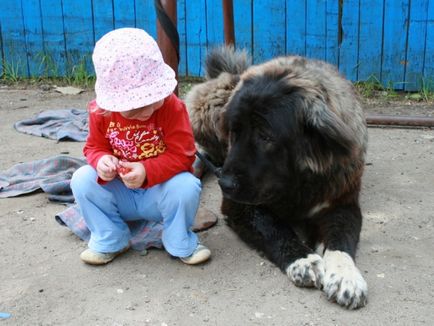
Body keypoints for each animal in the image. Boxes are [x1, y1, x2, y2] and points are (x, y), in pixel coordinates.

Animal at [186, 47, 370, 310]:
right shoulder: (240, 205)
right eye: (234, 132)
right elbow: (274, 228)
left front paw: (346, 277)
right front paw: (303, 260)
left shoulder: (341, 203)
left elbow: (340, 239)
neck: (298, 183)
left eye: (266, 137)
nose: (225, 183)